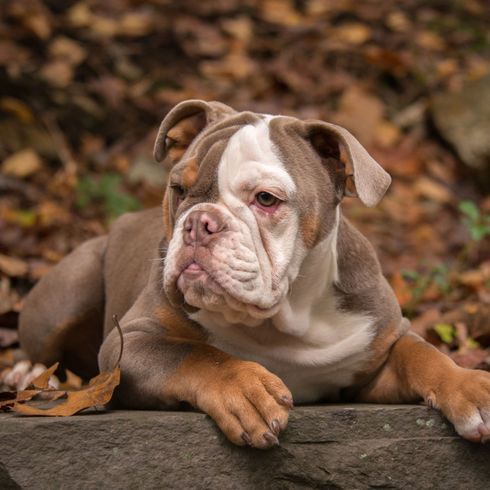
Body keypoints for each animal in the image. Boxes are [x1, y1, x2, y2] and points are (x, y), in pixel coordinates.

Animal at [19, 99, 490, 448]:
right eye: (178, 189)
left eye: (266, 199)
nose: (199, 222)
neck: (282, 319)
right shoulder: (129, 343)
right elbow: (195, 354)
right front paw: (245, 388)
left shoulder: (376, 355)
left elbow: (424, 355)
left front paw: (470, 386)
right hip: (71, 287)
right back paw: (27, 375)